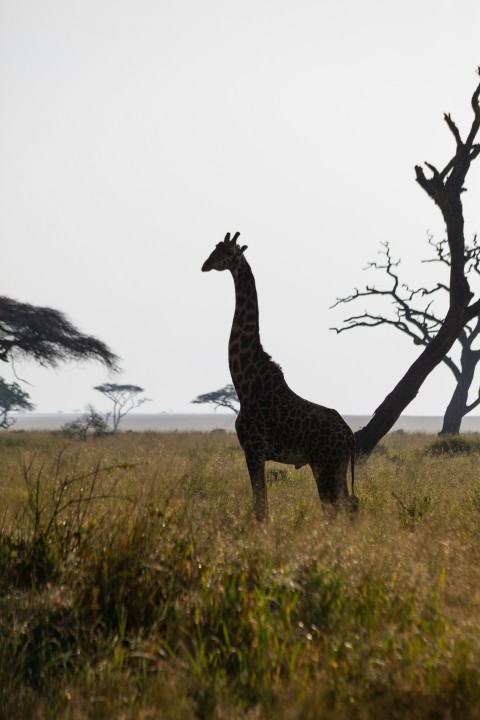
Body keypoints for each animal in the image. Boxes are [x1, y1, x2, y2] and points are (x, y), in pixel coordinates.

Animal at [201, 233, 358, 520]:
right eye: (213, 249)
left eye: (228, 252)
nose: (205, 265)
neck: (245, 383)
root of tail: (349, 435)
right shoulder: (254, 451)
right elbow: (262, 504)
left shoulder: (253, 448)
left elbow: (261, 507)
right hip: (334, 464)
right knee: (348, 504)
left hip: (326, 463)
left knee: (337, 506)